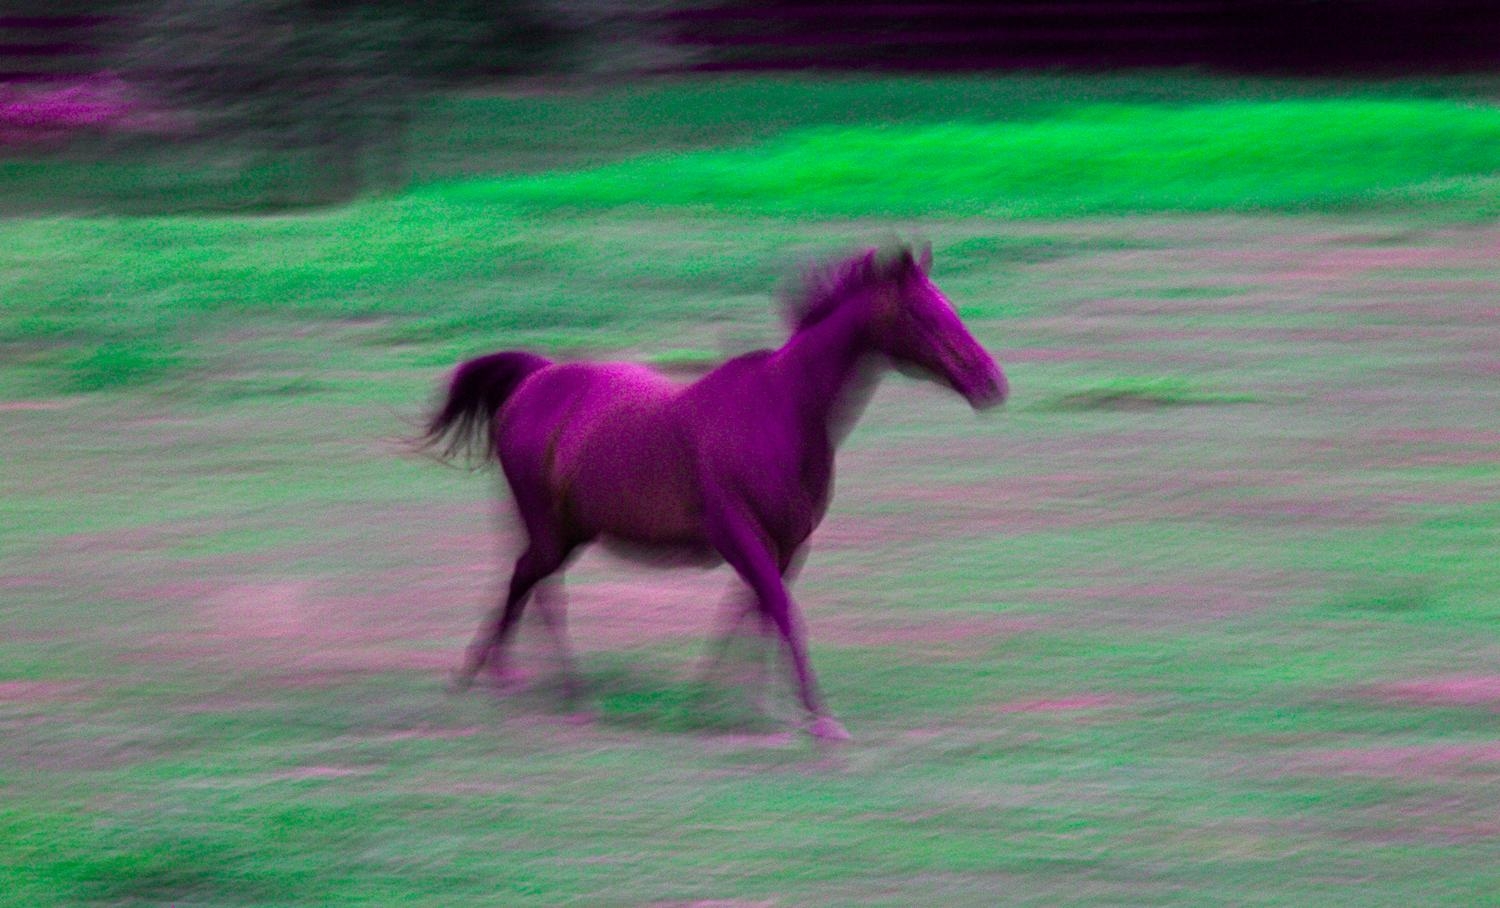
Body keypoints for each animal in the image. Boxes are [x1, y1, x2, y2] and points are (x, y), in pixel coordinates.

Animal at [423, 243, 1007, 740]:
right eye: (925, 315)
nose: (991, 382)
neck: (782, 412)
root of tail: (535, 379)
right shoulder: (739, 533)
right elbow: (780, 613)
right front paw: (819, 720)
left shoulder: (786, 544)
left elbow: (754, 613)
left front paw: (729, 704)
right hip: (551, 530)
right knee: (534, 585)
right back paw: (543, 689)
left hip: (566, 532)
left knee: (529, 584)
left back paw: (501, 677)